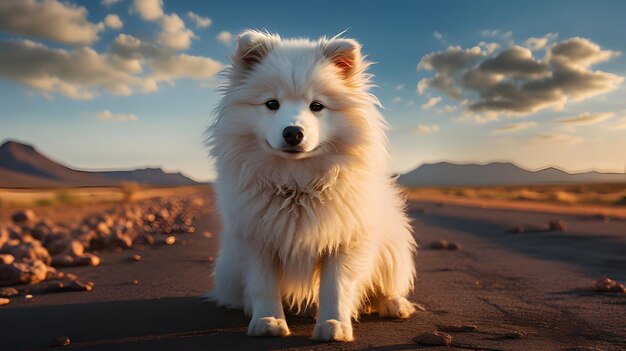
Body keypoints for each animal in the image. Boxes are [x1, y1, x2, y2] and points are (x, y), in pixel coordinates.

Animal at [207, 30, 416, 344]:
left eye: (317, 106)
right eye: (272, 104)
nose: (293, 132)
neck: (297, 184)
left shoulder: (345, 240)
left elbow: (336, 287)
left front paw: (334, 325)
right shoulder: (256, 239)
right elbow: (263, 284)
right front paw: (268, 321)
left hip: (394, 250)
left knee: (385, 286)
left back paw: (394, 304)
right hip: (229, 266)